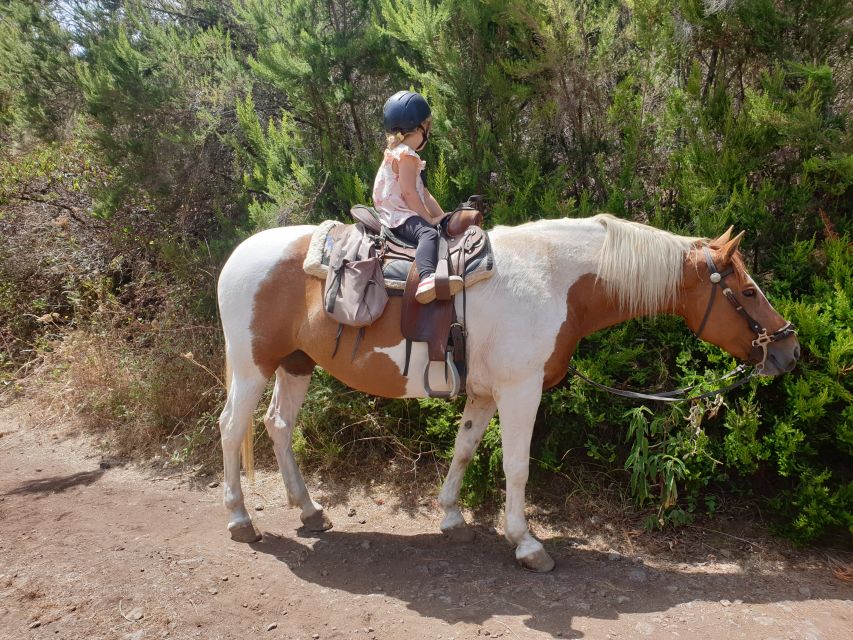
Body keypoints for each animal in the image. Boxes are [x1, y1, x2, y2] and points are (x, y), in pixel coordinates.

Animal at [215, 214, 800, 568]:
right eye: (749, 291)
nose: (788, 350)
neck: (556, 279)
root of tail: (240, 254)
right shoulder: (521, 392)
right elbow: (515, 466)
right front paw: (526, 542)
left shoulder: (485, 393)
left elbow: (464, 449)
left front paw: (452, 519)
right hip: (252, 366)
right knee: (231, 428)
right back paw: (241, 520)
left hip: (296, 365)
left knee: (278, 426)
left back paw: (310, 511)